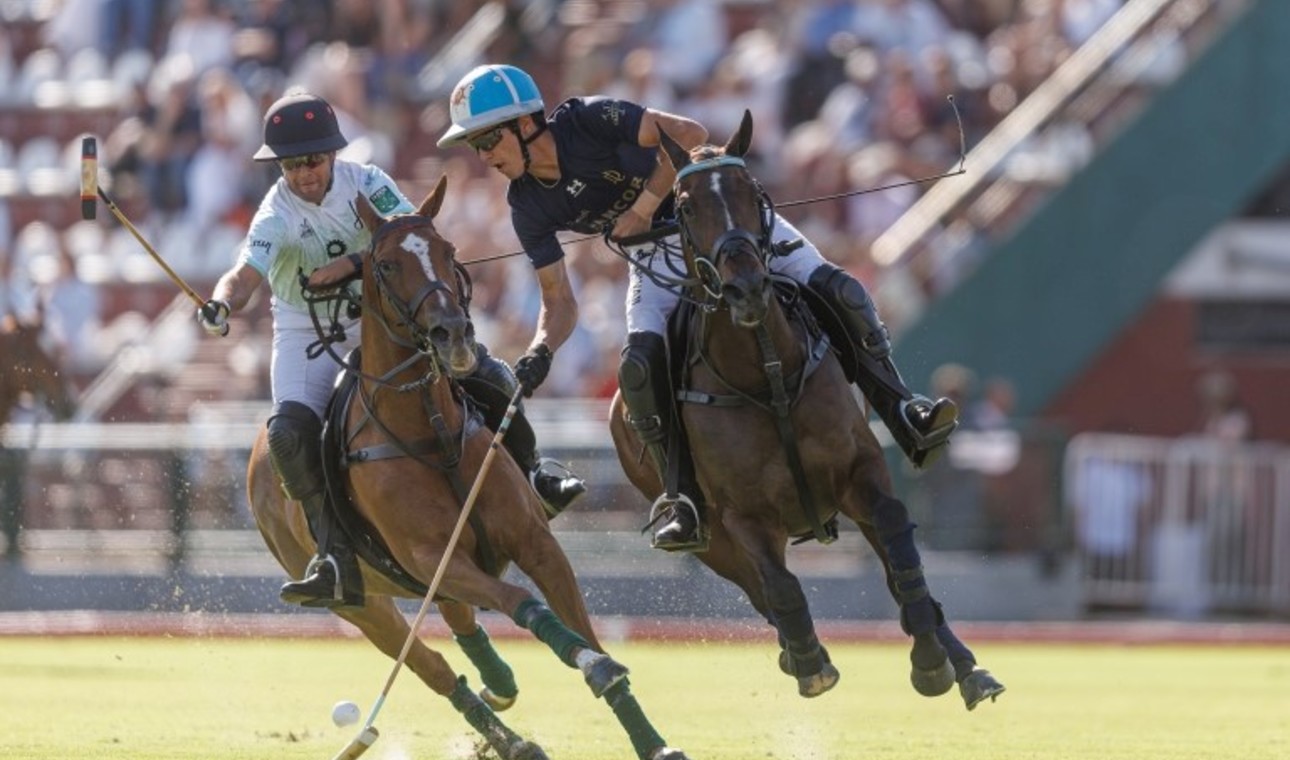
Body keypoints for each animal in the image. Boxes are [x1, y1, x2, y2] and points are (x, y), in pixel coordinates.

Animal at [252, 176, 696, 758]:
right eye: (386, 264)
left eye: (448, 250)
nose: (454, 334)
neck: (431, 432)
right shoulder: (434, 558)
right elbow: (525, 604)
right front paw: (590, 665)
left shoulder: (532, 541)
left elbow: (581, 626)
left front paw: (653, 741)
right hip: (363, 604)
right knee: (436, 668)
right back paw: (508, 740)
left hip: (430, 585)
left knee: (463, 631)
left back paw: (501, 689)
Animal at [606, 110, 1006, 707]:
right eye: (684, 205)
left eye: (752, 190)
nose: (747, 288)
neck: (765, 371)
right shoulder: (741, 516)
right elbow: (781, 586)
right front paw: (811, 662)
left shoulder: (862, 470)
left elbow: (900, 550)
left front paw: (931, 660)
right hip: (710, 540)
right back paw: (796, 651)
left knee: (843, 288)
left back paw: (962, 664)